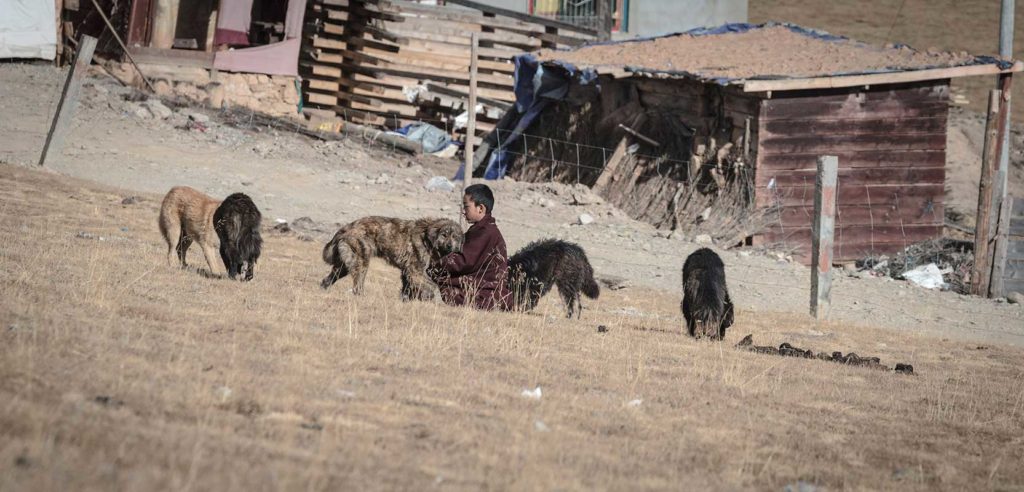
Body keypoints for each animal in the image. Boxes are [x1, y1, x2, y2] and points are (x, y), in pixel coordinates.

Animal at [321, 216, 462, 299]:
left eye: (455, 237)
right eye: (444, 235)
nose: (450, 246)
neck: (426, 237)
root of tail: (346, 227)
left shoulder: (407, 272)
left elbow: (407, 290)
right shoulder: (415, 272)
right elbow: (434, 287)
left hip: (344, 265)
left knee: (327, 279)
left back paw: (324, 289)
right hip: (361, 263)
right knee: (357, 286)